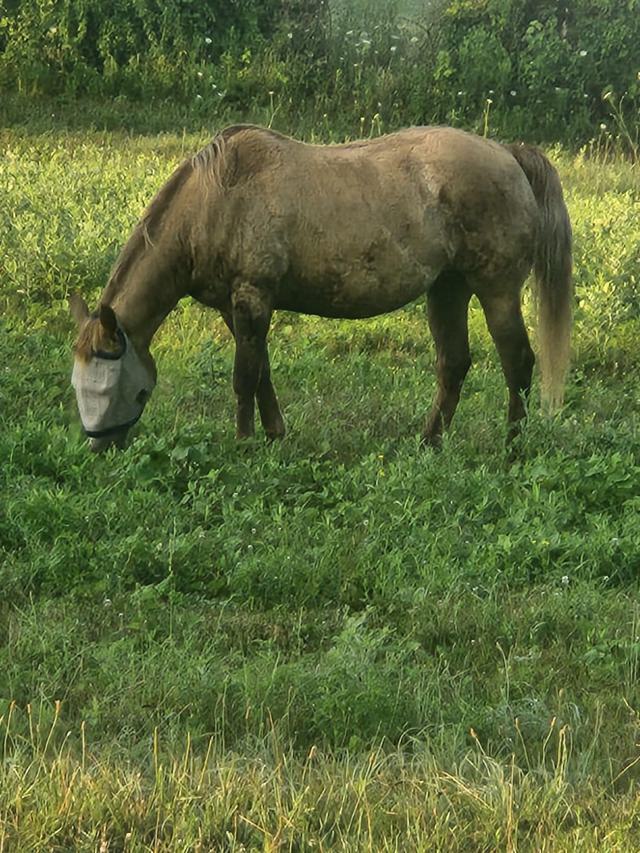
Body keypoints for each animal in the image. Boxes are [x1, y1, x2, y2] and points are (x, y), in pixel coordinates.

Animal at [67, 123, 572, 452]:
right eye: (78, 386)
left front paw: (244, 443)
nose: (99, 449)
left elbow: (244, 376)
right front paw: (274, 434)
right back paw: (429, 442)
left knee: (517, 361)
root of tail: (507, 153)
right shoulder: (237, 309)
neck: (217, 201)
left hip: (497, 291)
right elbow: (262, 371)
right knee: (454, 364)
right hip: (447, 290)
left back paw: (511, 447)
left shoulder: (252, 298)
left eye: (117, 389)